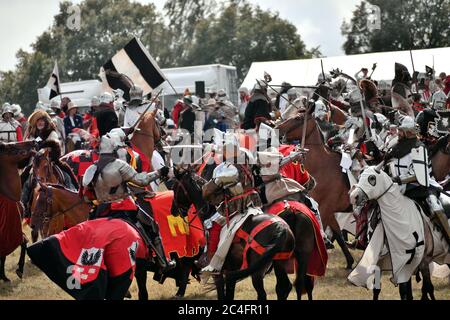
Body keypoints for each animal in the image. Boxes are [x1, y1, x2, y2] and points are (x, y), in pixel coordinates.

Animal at [171, 168, 308, 300]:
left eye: (174, 188)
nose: (173, 211)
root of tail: (282, 229)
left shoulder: (218, 273)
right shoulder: (231, 271)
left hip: (257, 271)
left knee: (263, 294)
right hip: (279, 263)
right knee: (284, 287)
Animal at [274, 111, 356, 268]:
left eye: (298, 118)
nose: (276, 128)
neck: (322, 165)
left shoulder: (324, 209)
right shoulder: (329, 212)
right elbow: (338, 234)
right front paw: (349, 261)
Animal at [350, 166, 448, 298]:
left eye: (372, 178)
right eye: (359, 177)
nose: (353, 196)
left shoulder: (421, 260)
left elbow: (426, 288)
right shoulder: (385, 262)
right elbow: (381, 289)